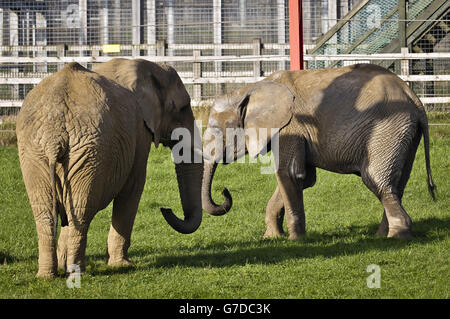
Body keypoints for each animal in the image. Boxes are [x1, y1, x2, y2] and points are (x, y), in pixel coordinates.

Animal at [15, 58, 202, 278]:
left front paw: (64, 265)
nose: (166, 209)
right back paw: (78, 272)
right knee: (80, 210)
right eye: (182, 107)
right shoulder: (139, 130)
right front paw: (123, 265)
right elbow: (134, 186)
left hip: (36, 151)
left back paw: (48, 275)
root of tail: (54, 134)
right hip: (86, 152)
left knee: (47, 212)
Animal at [203, 64, 436, 240]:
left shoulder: (291, 126)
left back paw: (395, 237)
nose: (224, 190)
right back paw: (380, 236)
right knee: (397, 184)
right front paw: (272, 237)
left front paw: (295, 240)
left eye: (217, 130)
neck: (252, 88)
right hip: (405, 133)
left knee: (377, 180)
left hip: (388, 128)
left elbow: (289, 174)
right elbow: (303, 179)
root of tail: (415, 100)